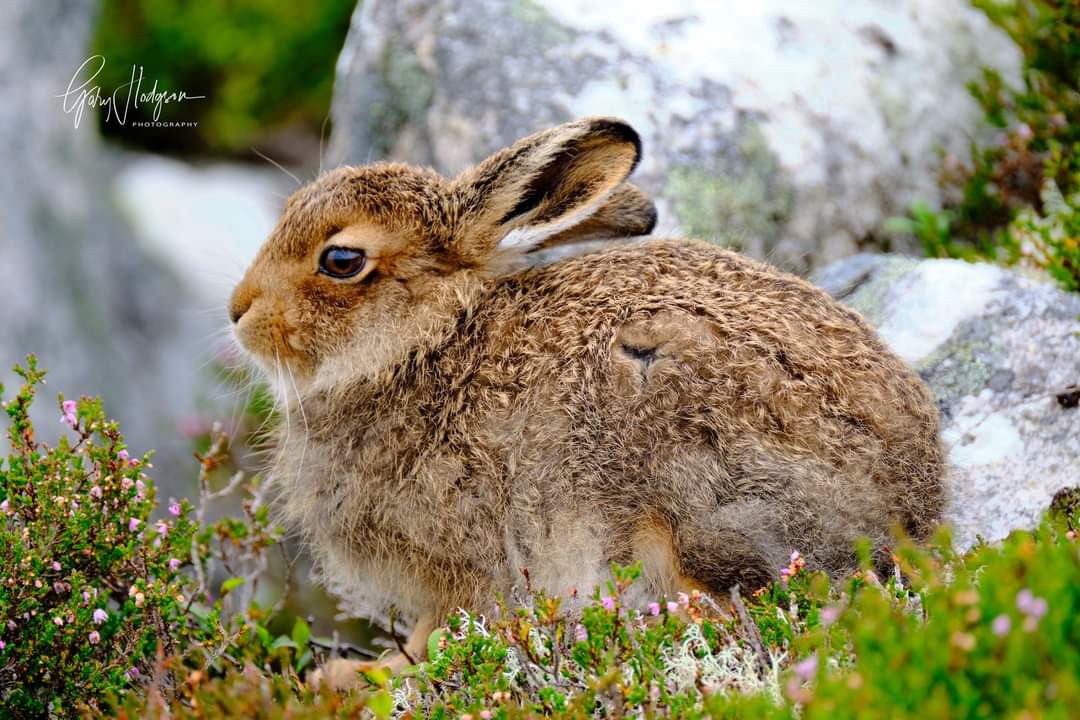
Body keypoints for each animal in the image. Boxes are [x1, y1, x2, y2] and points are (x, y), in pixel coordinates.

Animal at [228, 117, 944, 686]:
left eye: (341, 260)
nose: (239, 312)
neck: (429, 339)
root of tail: (915, 515)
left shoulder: (457, 563)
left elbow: (431, 635)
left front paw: (361, 676)